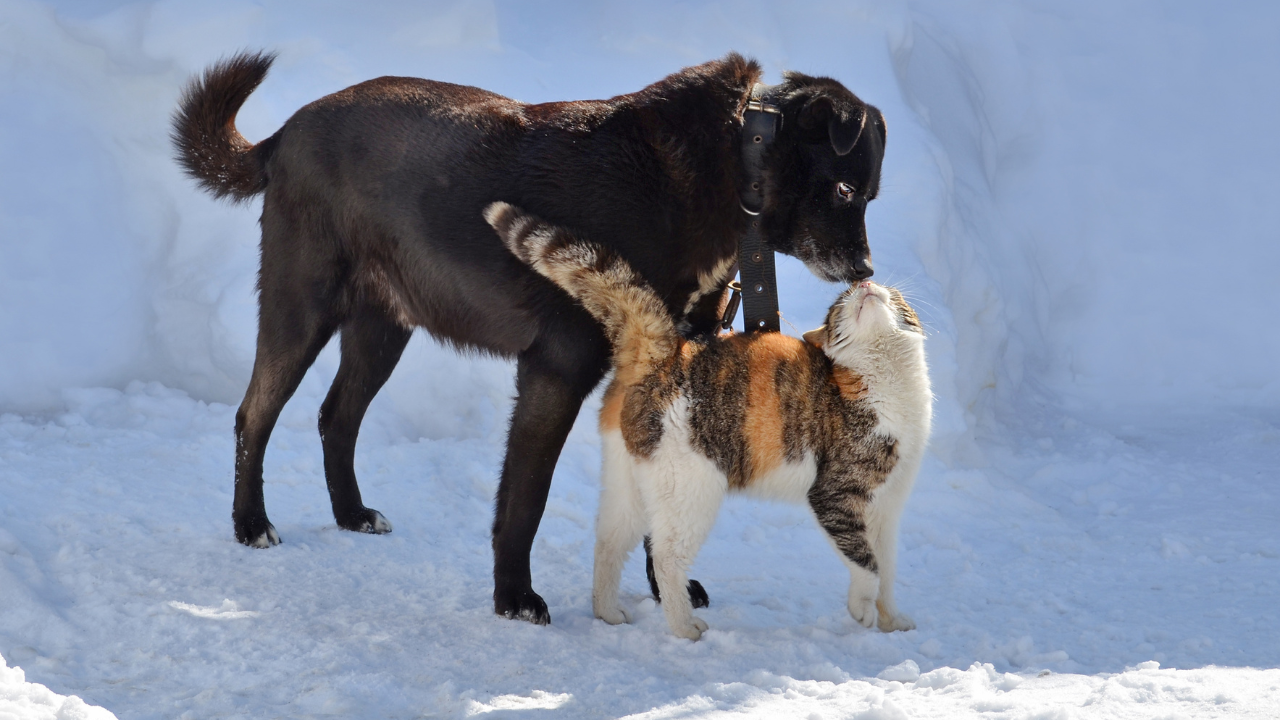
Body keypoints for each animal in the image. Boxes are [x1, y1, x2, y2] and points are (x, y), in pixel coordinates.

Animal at [170, 50, 885, 622]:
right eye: (846, 188)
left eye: (870, 195)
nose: (865, 269)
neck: (733, 160)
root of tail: (284, 135)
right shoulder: (556, 367)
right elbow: (524, 500)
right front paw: (513, 599)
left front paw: (666, 589)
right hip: (301, 308)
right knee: (254, 415)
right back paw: (251, 525)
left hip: (383, 328)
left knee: (335, 418)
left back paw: (352, 515)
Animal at [481, 198, 931, 635]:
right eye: (839, 307)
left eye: (891, 293)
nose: (863, 284)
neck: (887, 383)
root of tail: (660, 351)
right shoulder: (836, 494)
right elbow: (866, 562)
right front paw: (862, 610)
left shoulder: (887, 507)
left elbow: (886, 567)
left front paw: (891, 621)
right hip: (690, 487)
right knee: (665, 557)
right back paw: (684, 627)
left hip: (631, 481)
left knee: (609, 542)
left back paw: (607, 613)